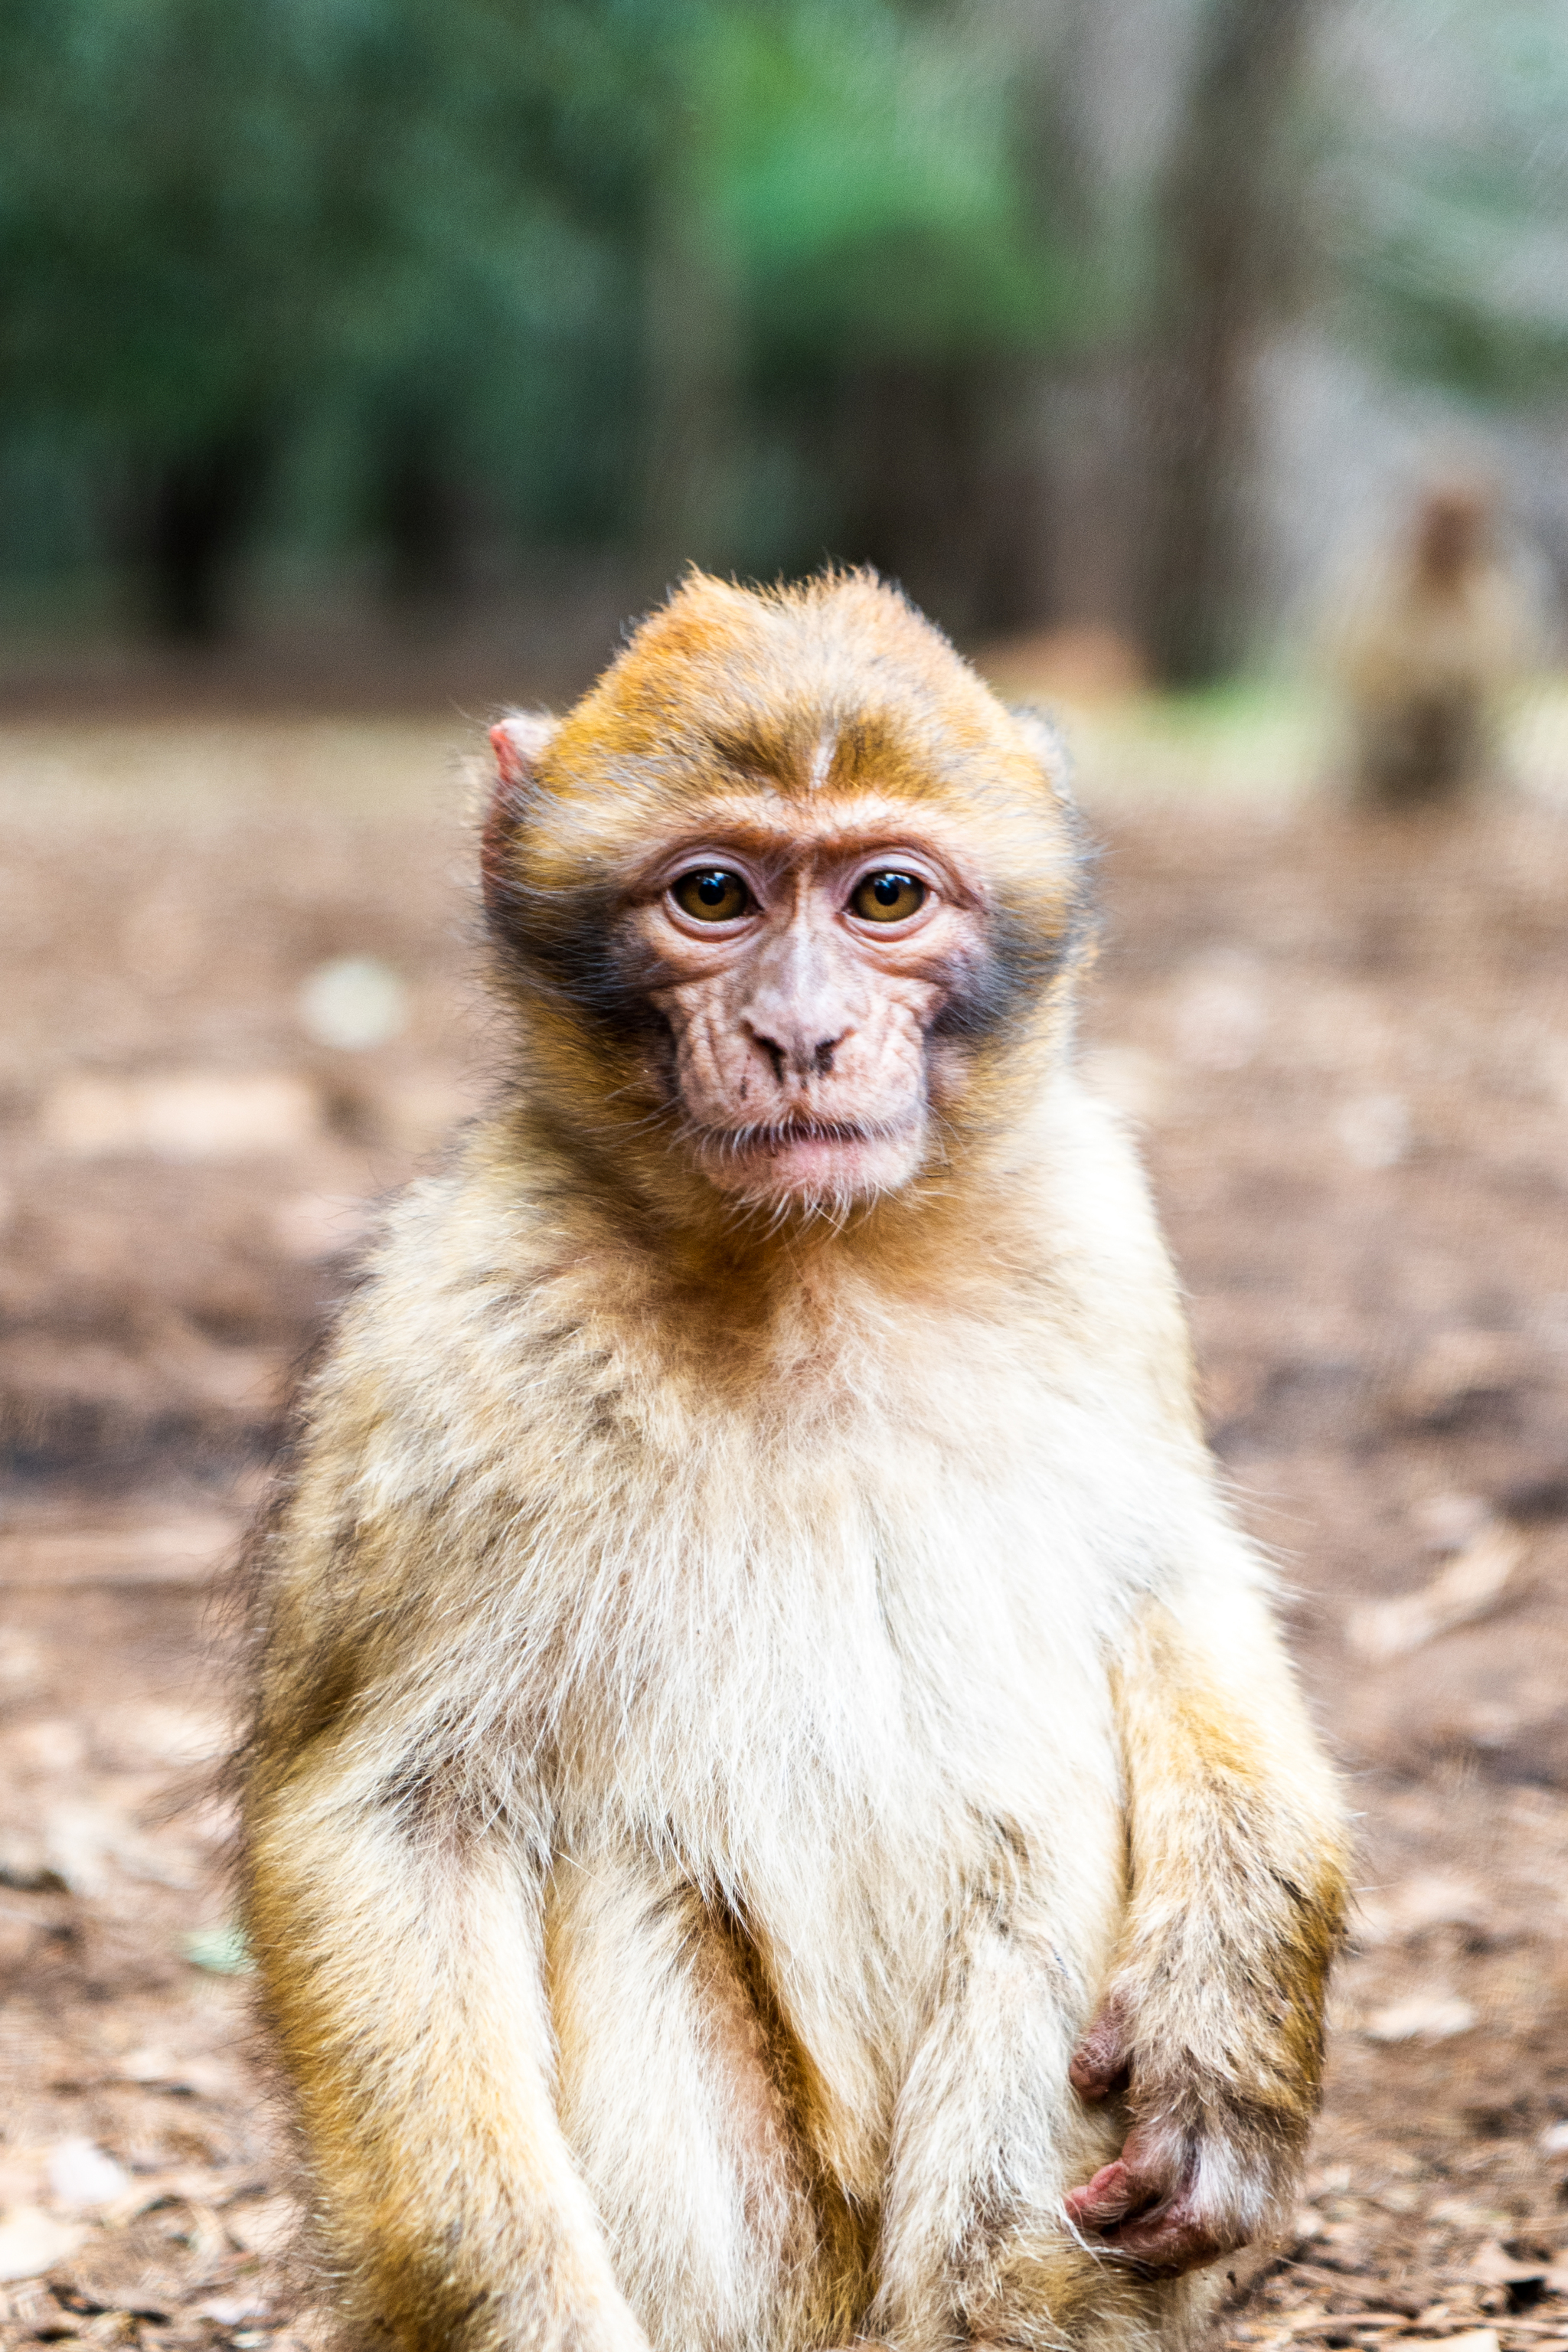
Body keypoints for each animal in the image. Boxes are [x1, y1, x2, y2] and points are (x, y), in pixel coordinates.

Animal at [240, 569, 1344, 2352]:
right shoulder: (448, 1336)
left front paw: (1229, 2024)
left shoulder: (1097, 1231)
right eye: (714, 895)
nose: (805, 1031)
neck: (818, 1272)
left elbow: (1166, 1598)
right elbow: (389, 1823)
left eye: (884, 895)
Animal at [1335, 482, 1542, 804]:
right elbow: (1380, 677)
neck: (1440, 583)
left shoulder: (1493, 599)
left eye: (1466, 520)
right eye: (1442, 517)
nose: (1455, 541)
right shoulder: (1386, 588)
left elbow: (1474, 683)